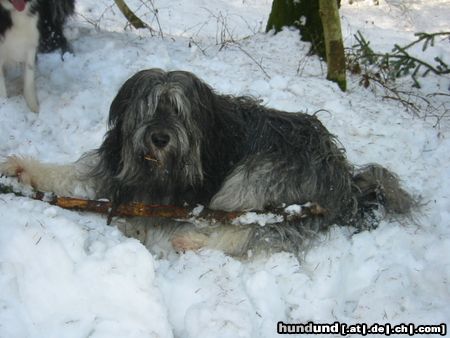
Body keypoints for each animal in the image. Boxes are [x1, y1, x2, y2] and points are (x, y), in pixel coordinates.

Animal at [0, 67, 414, 255]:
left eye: (179, 111)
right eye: (150, 108)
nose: (160, 137)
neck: (155, 166)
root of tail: (344, 179)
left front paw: (137, 229)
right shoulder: (113, 171)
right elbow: (67, 174)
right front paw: (19, 169)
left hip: (257, 178)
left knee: (250, 228)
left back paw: (191, 239)